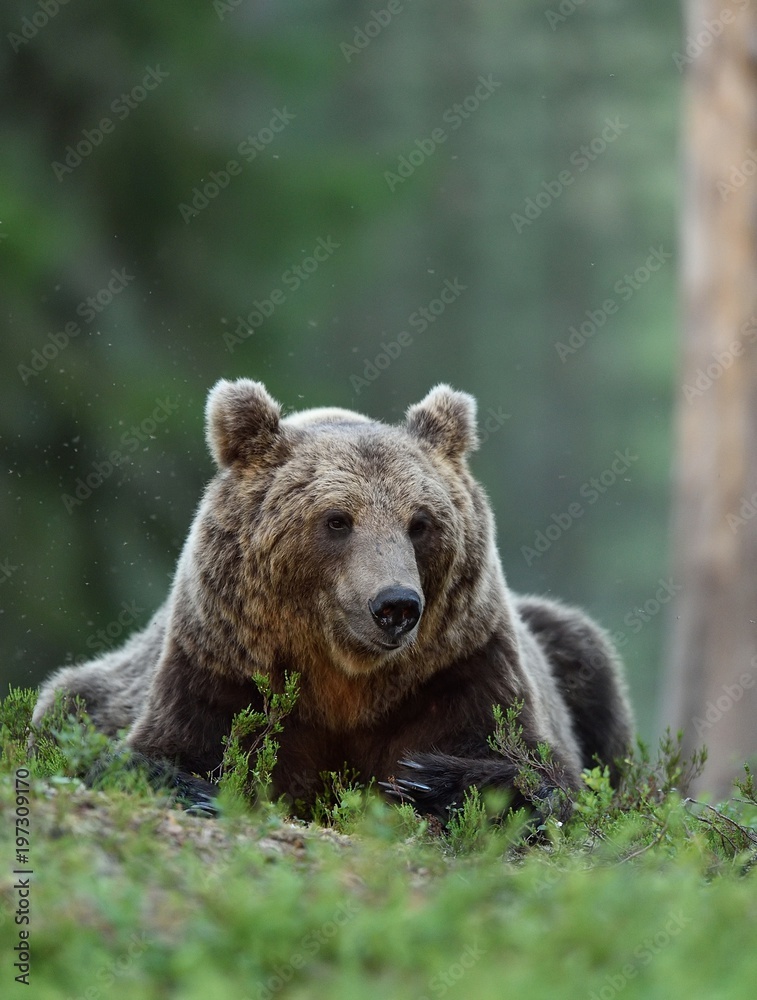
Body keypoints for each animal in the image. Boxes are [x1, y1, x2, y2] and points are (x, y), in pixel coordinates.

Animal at [32, 378, 633, 820]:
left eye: (420, 523)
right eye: (337, 520)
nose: (395, 605)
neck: (343, 680)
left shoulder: (459, 667)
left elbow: (542, 771)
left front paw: (431, 779)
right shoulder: (221, 669)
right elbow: (160, 752)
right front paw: (195, 788)